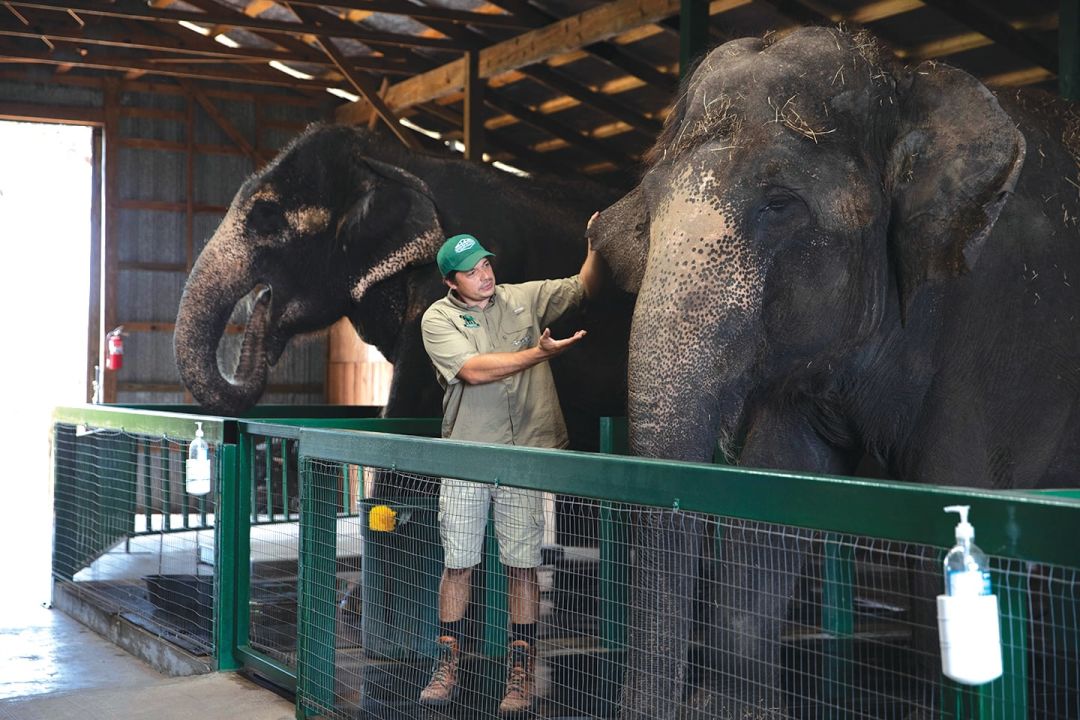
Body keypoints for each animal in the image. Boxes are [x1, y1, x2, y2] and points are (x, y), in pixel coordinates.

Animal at [591, 25, 1080, 720]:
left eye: (779, 204)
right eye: (647, 212)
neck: (906, 83)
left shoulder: (1010, 336)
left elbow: (957, 501)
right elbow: (775, 487)